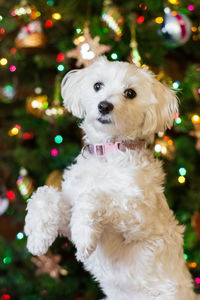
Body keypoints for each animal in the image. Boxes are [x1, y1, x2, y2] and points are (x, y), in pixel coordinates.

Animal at [24, 56, 199, 300]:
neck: (108, 154)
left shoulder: (138, 217)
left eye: (130, 93)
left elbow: (95, 197)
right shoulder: (68, 214)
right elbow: (44, 194)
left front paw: (84, 237)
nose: (104, 105)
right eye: (97, 85)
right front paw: (37, 238)